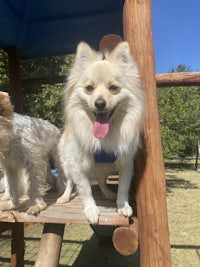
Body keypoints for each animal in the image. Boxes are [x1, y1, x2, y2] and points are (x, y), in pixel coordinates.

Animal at [57, 41, 145, 224]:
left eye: (113, 88)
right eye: (89, 88)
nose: (99, 103)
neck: (105, 138)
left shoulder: (126, 163)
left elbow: (123, 187)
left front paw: (122, 205)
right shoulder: (77, 166)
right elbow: (85, 190)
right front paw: (91, 210)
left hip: (106, 168)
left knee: (101, 180)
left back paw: (107, 193)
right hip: (67, 166)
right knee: (69, 182)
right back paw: (65, 197)